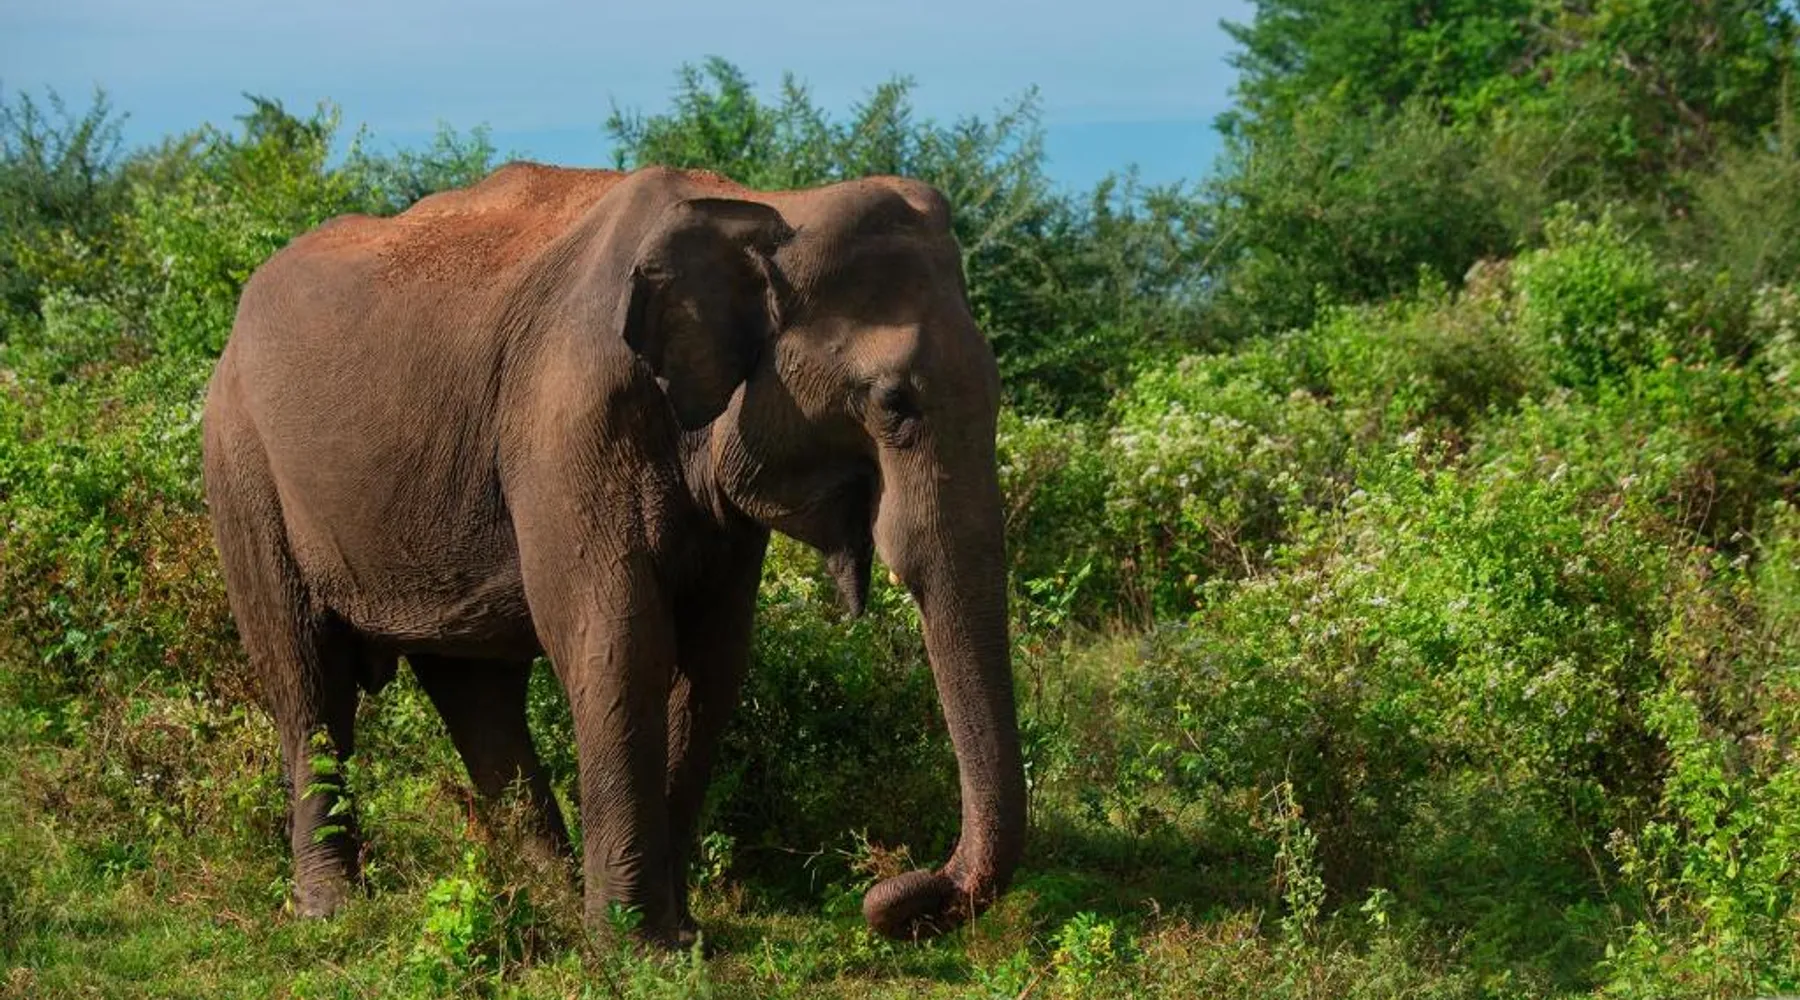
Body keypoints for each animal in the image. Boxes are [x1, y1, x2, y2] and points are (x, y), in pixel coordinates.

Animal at [200, 162, 1025, 947]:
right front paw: (638, 948)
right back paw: (333, 912)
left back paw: (550, 897)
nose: (887, 897)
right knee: (306, 677)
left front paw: (679, 936)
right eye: (893, 403)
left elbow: (713, 657)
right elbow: (620, 638)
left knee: (476, 691)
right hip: (241, 465)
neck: (767, 203)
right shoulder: (568, 420)